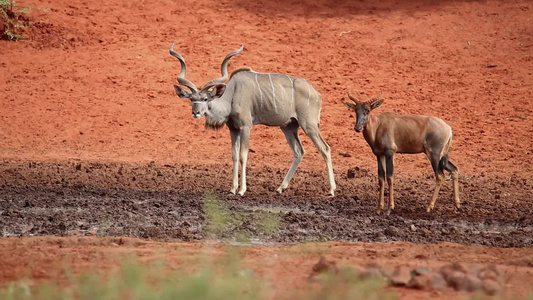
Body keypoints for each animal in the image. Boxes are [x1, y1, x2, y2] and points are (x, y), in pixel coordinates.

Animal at [170, 42, 334, 197]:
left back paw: (332, 190)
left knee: (325, 148)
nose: (196, 112)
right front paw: (232, 189)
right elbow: (234, 155)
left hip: (309, 124)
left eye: (205, 99)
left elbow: (243, 155)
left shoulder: (245, 127)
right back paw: (280, 188)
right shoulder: (233, 129)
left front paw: (242, 190)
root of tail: (317, 93)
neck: (232, 94)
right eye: (192, 99)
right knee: (299, 151)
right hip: (288, 126)